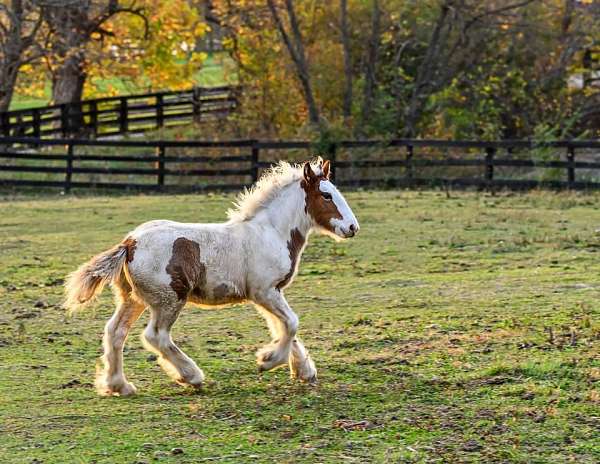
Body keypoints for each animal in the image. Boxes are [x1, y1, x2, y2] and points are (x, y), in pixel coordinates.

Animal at [63, 159, 358, 396]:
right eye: (326, 195)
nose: (352, 227)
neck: (270, 232)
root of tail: (129, 243)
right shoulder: (265, 292)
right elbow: (291, 324)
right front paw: (268, 360)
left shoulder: (270, 294)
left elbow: (283, 327)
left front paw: (303, 370)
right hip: (169, 299)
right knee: (155, 336)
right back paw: (191, 376)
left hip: (133, 299)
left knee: (115, 332)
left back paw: (119, 386)